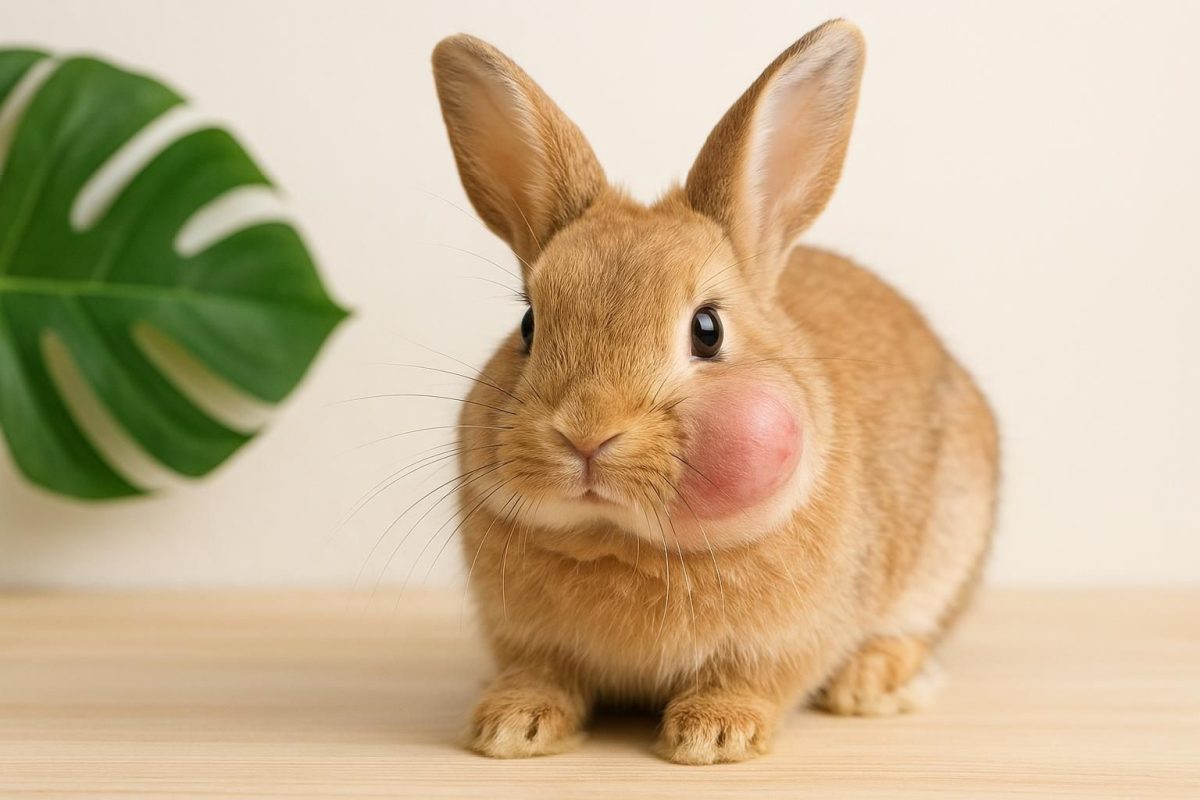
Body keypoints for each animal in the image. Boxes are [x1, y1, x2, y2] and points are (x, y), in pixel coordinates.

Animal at [430, 19, 999, 765]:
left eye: (707, 330)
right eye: (529, 325)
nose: (587, 432)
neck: (620, 538)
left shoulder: (784, 643)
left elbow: (751, 680)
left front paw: (714, 737)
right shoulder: (524, 639)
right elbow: (539, 674)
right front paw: (510, 727)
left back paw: (873, 684)